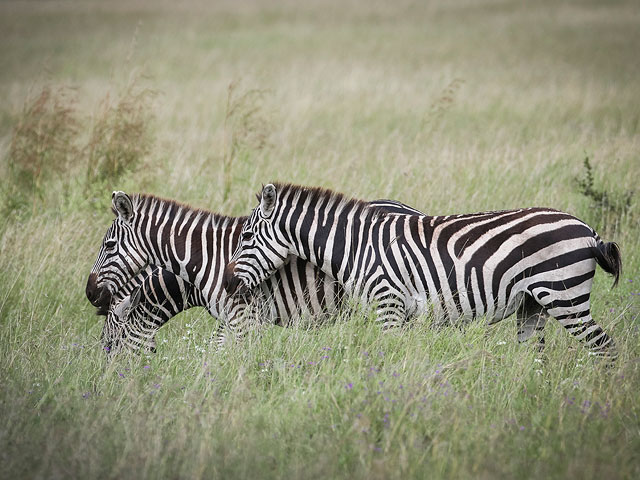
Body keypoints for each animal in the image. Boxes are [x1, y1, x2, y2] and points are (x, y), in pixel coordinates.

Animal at [85, 193, 424, 350]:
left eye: (109, 245)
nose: (90, 294)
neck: (205, 259)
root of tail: (412, 210)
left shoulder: (243, 316)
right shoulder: (228, 320)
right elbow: (216, 353)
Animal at [224, 184, 620, 360]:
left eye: (245, 237)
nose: (227, 284)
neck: (357, 247)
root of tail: (588, 229)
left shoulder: (388, 304)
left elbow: (389, 359)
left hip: (564, 295)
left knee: (605, 349)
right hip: (533, 305)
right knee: (533, 361)